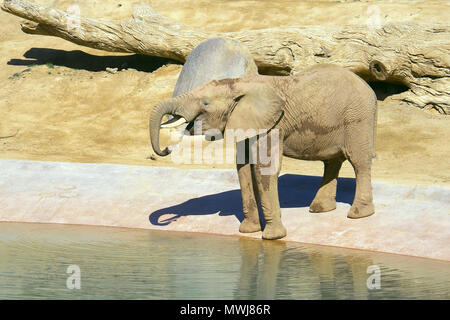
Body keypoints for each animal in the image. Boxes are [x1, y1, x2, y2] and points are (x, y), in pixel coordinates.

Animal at [149, 63, 378, 240]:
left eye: (205, 103)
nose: (166, 149)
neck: (239, 83)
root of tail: (369, 88)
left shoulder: (273, 124)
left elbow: (264, 169)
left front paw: (272, 237)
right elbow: (243, 169)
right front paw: (248, 231)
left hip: (357, 117)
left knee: (359, 161)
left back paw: (358, 214)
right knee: (332, 161)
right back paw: (320, 209)